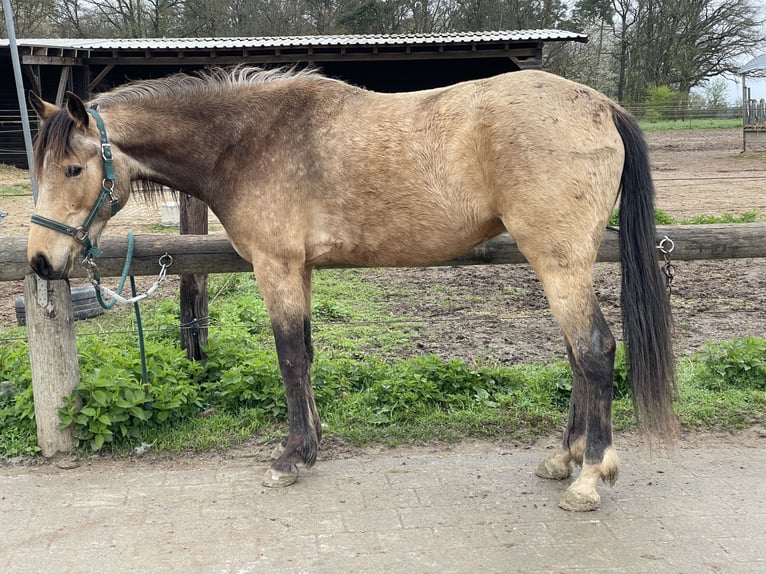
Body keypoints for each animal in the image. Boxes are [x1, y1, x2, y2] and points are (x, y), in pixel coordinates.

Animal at [27, 66, 676, 511]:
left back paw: (590, 477)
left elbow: (289, 358)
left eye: (73, 169)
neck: (248, 141)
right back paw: (565, 458)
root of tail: (601, 106)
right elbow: (307, 356)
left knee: (594, 352)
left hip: (559, 263)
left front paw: (290, 457)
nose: (39, 261)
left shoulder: (276, 266)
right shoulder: (301, 269)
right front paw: (310, 446)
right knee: (578, 356)